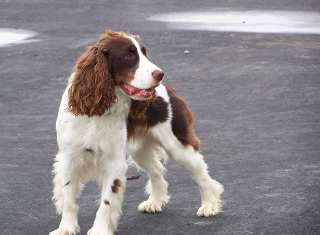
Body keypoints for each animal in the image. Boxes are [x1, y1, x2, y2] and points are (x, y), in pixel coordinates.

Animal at [51, 30, 224, 234]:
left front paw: (100, 230)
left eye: (144, 53)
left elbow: (106, 203)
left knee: (201, 172)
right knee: (156, 170)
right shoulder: (69, 159)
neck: (99, 112)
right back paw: (155, 202)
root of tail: (169, 89)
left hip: (176, 145)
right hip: (140, 150)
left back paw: (209, 205)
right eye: (128, 55)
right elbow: (69, 199)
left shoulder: (113, 162)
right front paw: (66, 228)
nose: (160, 74)